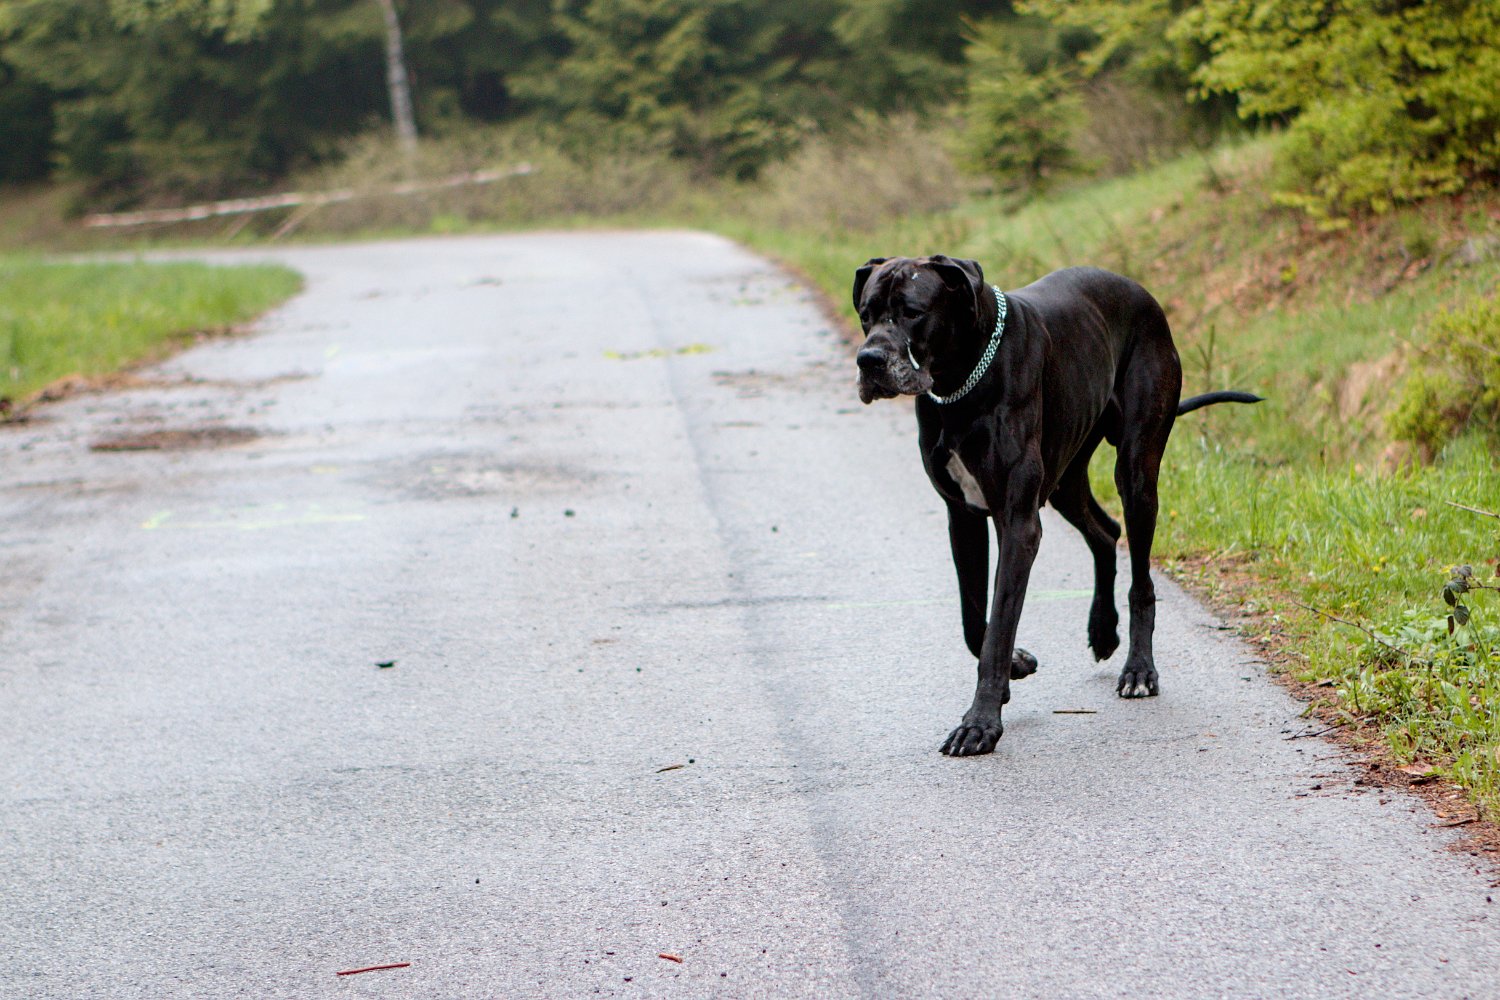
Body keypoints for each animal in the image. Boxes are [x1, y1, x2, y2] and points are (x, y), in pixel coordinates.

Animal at [852, 260, 1260, 758]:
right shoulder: (962, 517)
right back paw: (1103, 629)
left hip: (1136, 473)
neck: (961, 384)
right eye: (866, 314)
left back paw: (1139, 669)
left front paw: (980, 722)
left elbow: (998, 625)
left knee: (1140, 576)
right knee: (1106, 532)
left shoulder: (1018, 523)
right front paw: (1015, 666)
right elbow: (974, 620)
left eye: (912, 312)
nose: (869, 361)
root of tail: (1144, 296)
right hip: (1065, 478)